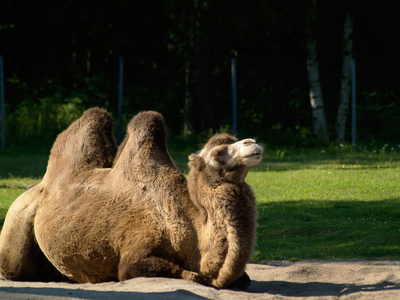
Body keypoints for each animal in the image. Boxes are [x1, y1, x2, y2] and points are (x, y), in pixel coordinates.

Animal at [0, 107, 262, 288]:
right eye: (217, 154)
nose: (253, 143)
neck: (191, 231)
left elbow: (243, 278)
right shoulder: (135, 254)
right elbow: (189, 275)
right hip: (17, 222)